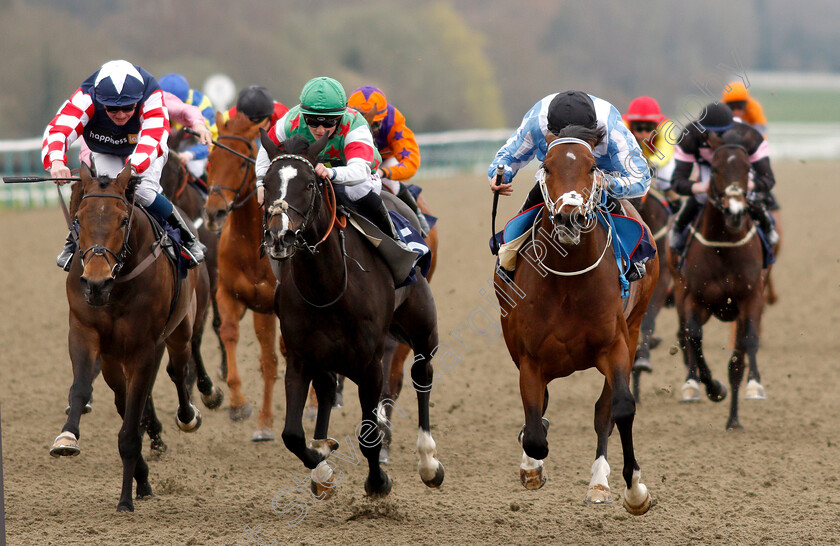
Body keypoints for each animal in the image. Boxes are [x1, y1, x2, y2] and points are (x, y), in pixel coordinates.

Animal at [51, 164, 212, 508]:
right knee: (123, 396)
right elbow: (83, 389)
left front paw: (126, 499)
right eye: (78, 219)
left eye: (123, 219)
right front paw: (67, 436)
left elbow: (131, 424)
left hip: (181, 329)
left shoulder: (146, 347)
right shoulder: (86, 333)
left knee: (178, 369)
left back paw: (188, 414)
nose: (96, 283)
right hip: (115, 357)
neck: (119, 284)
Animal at [262, 132, 446, 498]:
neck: (328, 287)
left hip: (421, 325)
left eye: (309, 184)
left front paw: (378, 481)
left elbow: (369, 435)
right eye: (265, 182)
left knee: (422, 375)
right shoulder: (301, 356)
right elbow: (292, 435)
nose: (280, 236)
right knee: (326, 387)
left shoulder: (369, 362)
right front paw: (322, 463)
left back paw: (428, 462)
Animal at [496, 125, 660, 512]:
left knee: (603, 412)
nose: (569, 217)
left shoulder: (616, 345)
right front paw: (532, 467)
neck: (568, 279)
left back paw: (599, 482)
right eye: (547, 166)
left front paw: (635, 490)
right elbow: (535, 429)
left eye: (591, 167)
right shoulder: (530, 357)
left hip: (634, 329)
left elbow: (619, 409)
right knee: (539, 411)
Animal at [668, 137, 768, 430]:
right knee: (685, 336)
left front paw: (734, 418)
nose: (735, 212)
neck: (725, 245)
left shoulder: (750, 299)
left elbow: (744, 347)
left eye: (747, 169)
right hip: (679, 292)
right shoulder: (694, 299)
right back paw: (691, 384)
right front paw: (714, 388)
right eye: (714, 169)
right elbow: (694, 336)